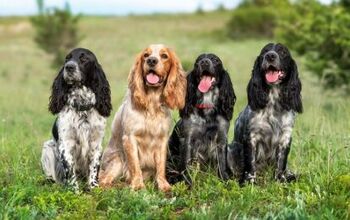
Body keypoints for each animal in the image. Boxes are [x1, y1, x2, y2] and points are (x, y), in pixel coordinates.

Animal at [40, 47, 112, 191]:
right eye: (67, 58)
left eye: (84, 59)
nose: (69, 67)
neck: (82, 106)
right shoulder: (66, 144)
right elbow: (70, 171)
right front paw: (74, 191)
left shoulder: (96, 144)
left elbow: (94, 169)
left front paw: (94, 187)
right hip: (48, 148)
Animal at [98, 43, 186, 192]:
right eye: (146, 55)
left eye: (164, 56)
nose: (151, 61)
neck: (152, 104)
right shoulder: (130, 138)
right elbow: (135, 166)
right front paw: (138, 185)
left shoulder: (162, 139)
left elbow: (160, 167)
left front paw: (164, 186)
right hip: (117, 160)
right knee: (104, 180)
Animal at [166, 53, 235, 184]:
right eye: (197, 61)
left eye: (215, 60)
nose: (204, 62)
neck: (207, 107)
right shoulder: (188, 139)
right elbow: (186, 165)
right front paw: (188, 183)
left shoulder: (221, 139)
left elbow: (222, 165)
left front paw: (225, 181)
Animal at [226, 43, 302, 184]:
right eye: (264, 51)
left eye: (282, 52)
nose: (270, 56)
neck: (273, 102)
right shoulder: (251, 136)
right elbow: (250, 164)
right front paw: (250, 182)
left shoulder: (285, 137)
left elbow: (281, 163)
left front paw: (280, 180)